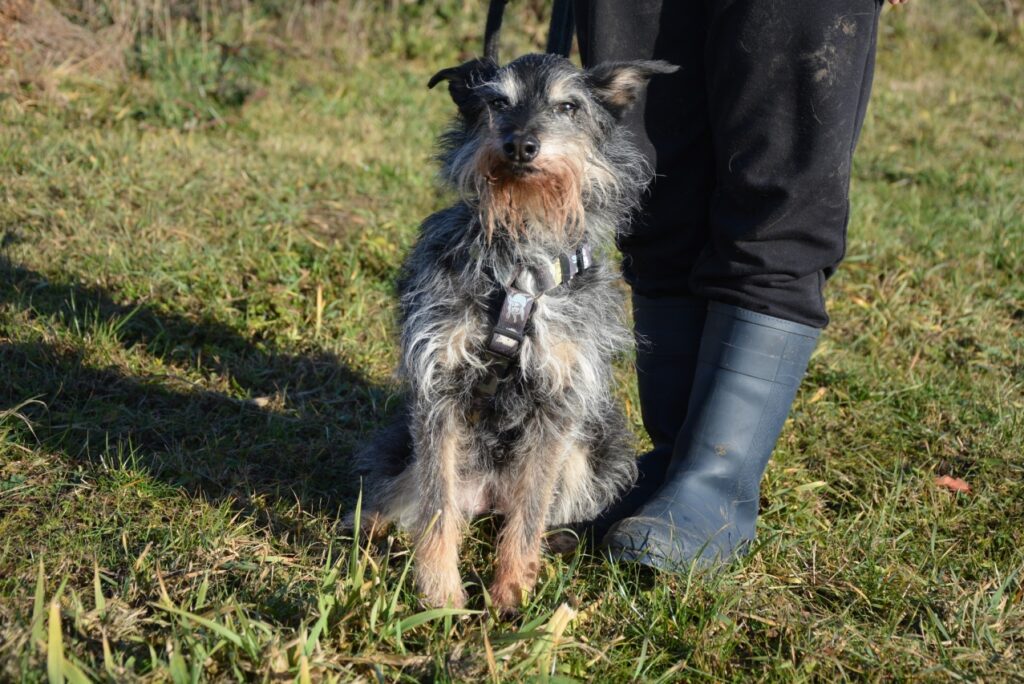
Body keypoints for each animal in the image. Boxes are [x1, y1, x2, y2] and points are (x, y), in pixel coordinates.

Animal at [348, 52, 675, 610]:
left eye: (568, 106)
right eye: (498, 102)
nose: (521, 145)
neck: (521, 263)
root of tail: (487, 498)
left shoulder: (558, 401)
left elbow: (531, 506)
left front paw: (511, 590)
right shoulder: (438, 390)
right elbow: (437, 505)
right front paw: (440, 594)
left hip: (598, 451)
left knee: (538, 509)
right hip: (403, 447)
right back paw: (372, 527)